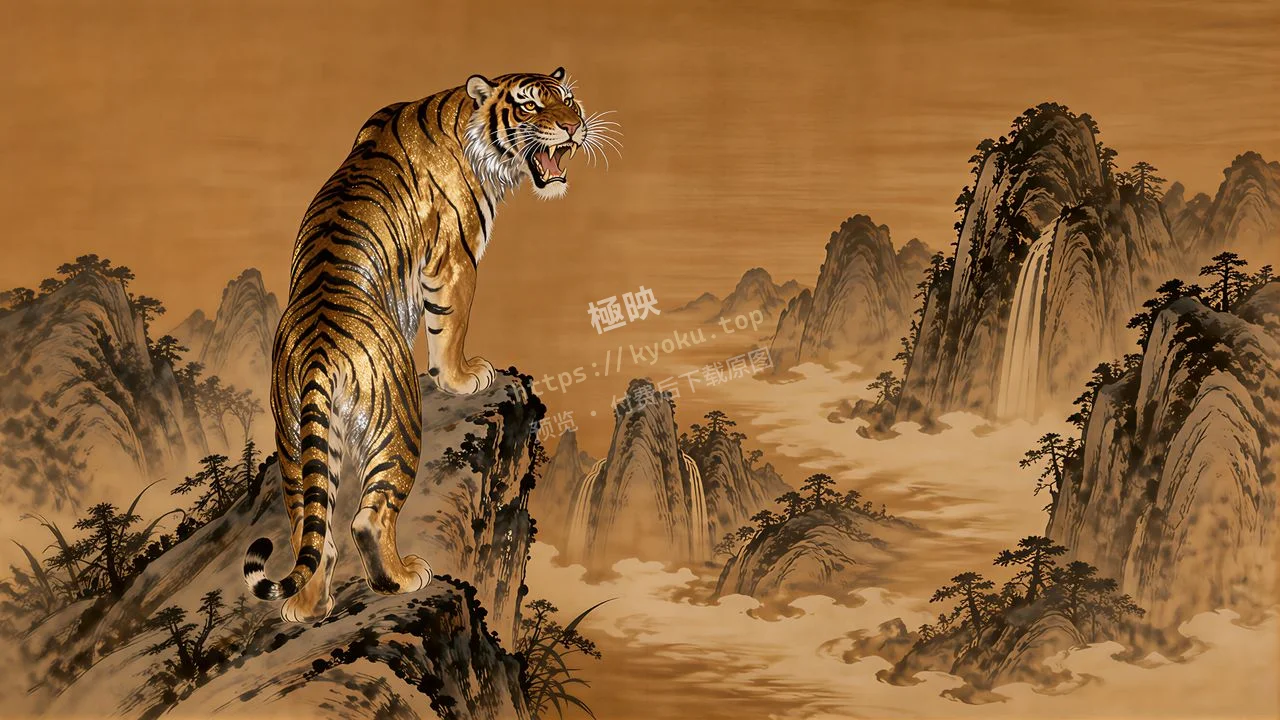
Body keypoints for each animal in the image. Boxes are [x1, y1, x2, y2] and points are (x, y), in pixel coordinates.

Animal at [242, 67, 614, 622]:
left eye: (569, 101)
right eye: (530, 106)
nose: (574, 127)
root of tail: (318, 349)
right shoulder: (455, 257)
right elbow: (450, 326)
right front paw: (463, 377)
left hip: (294, 436)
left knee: (314, 526)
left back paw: (308, 609)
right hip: (397, 426)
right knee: (366, 519)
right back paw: (402, 578)